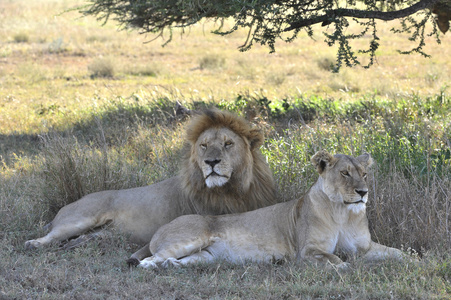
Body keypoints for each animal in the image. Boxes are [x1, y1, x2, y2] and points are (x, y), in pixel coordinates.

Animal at [27, 108, 278, 262]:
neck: (231, 190)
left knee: (77, 240)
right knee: (51, 235)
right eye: (204, 146)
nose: (211, 162)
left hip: (100, 234)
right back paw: (34, 244)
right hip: (80, 219)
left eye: (228, 144)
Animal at [139, 150, 404, 270]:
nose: (363, 192)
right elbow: (335, 258)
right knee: (148, 260)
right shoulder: (307, 251)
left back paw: (171, 266)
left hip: (205, 257)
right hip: (191, 238)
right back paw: (155, 266)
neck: (343, 212)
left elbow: (399, 253)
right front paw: (345, 267)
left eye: (364, 174)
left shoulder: (365, 247)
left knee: (178, 260)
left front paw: (413, 262)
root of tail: (161, 228)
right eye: (345, 173)